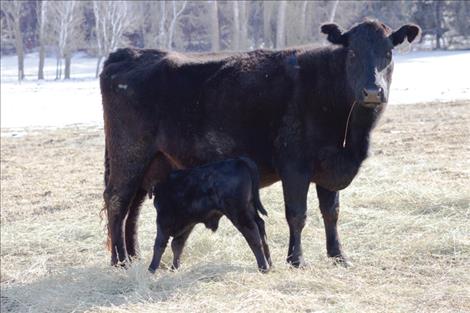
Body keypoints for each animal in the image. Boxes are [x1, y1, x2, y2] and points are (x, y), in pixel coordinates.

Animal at [101, 18, 420, 266]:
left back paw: (133, 256)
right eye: (352, 52)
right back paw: (119, 261)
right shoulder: (294, 165)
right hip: (129, 155)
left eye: (389, 53)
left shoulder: (330, 165)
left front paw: (338, 256)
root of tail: (127, 53)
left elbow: (331, 213)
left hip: (153, 162)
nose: (372, 91)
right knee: (117, 202)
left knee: (133, 208)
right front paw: (296, 260)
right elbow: (297, 214)